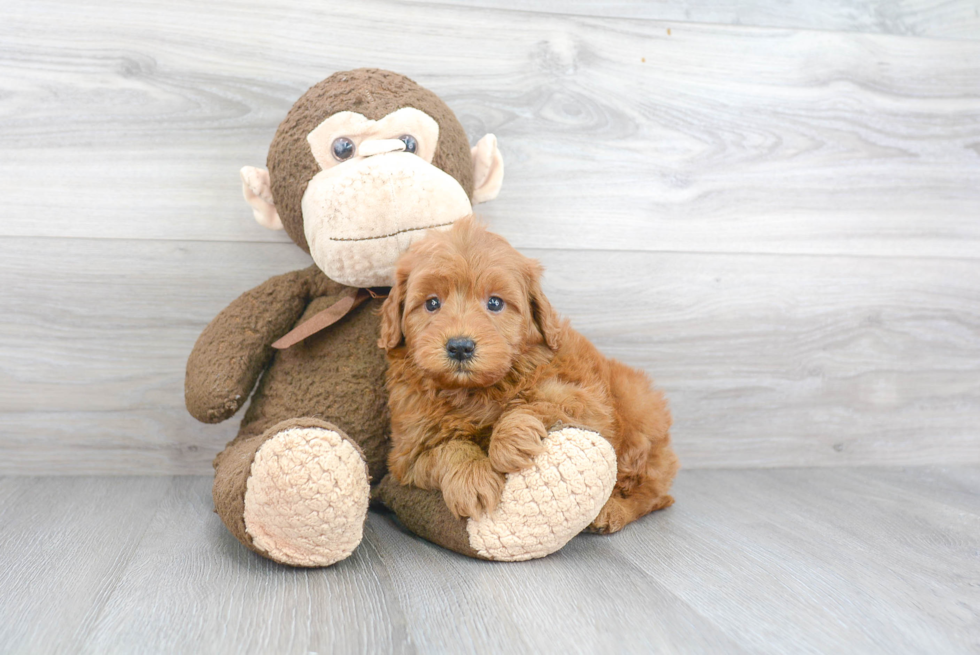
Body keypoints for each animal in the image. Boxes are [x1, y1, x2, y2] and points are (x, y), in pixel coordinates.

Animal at [378, 218, 676, 536]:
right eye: (432, 304)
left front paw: (510, 441)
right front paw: (473, 480)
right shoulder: (407, 454)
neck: (473, 391)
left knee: (649, 493)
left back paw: (613, 510)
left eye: (495, 303)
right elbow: (447, 448)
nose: (460, 346)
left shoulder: (588, 402)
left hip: (638, 417)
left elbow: (538, 402)